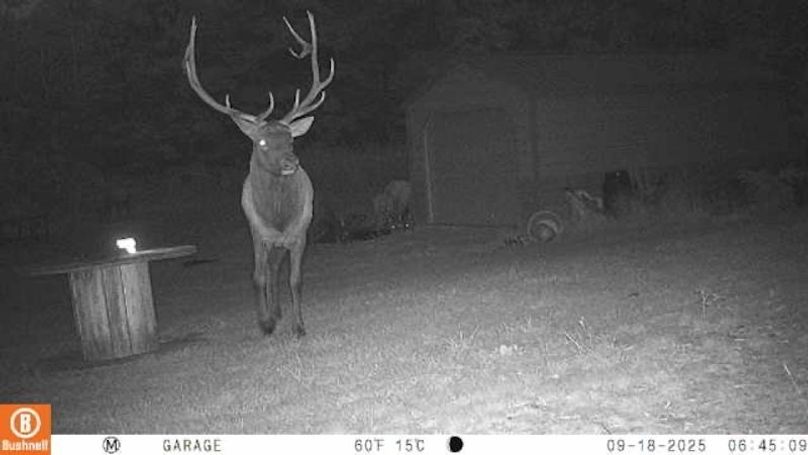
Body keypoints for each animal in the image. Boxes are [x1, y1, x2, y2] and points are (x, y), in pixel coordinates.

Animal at [183, 11, 334, 337]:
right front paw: (264, 323)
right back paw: (271, 314)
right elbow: (256, 277)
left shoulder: (300, 232)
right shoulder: (257, 231)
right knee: (267, 271)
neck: (277, 217)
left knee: (277, 270)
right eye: (262, 142)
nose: (291, 161)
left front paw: (298, 327)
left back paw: (278, 312)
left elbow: (295, 280)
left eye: (291, 139)